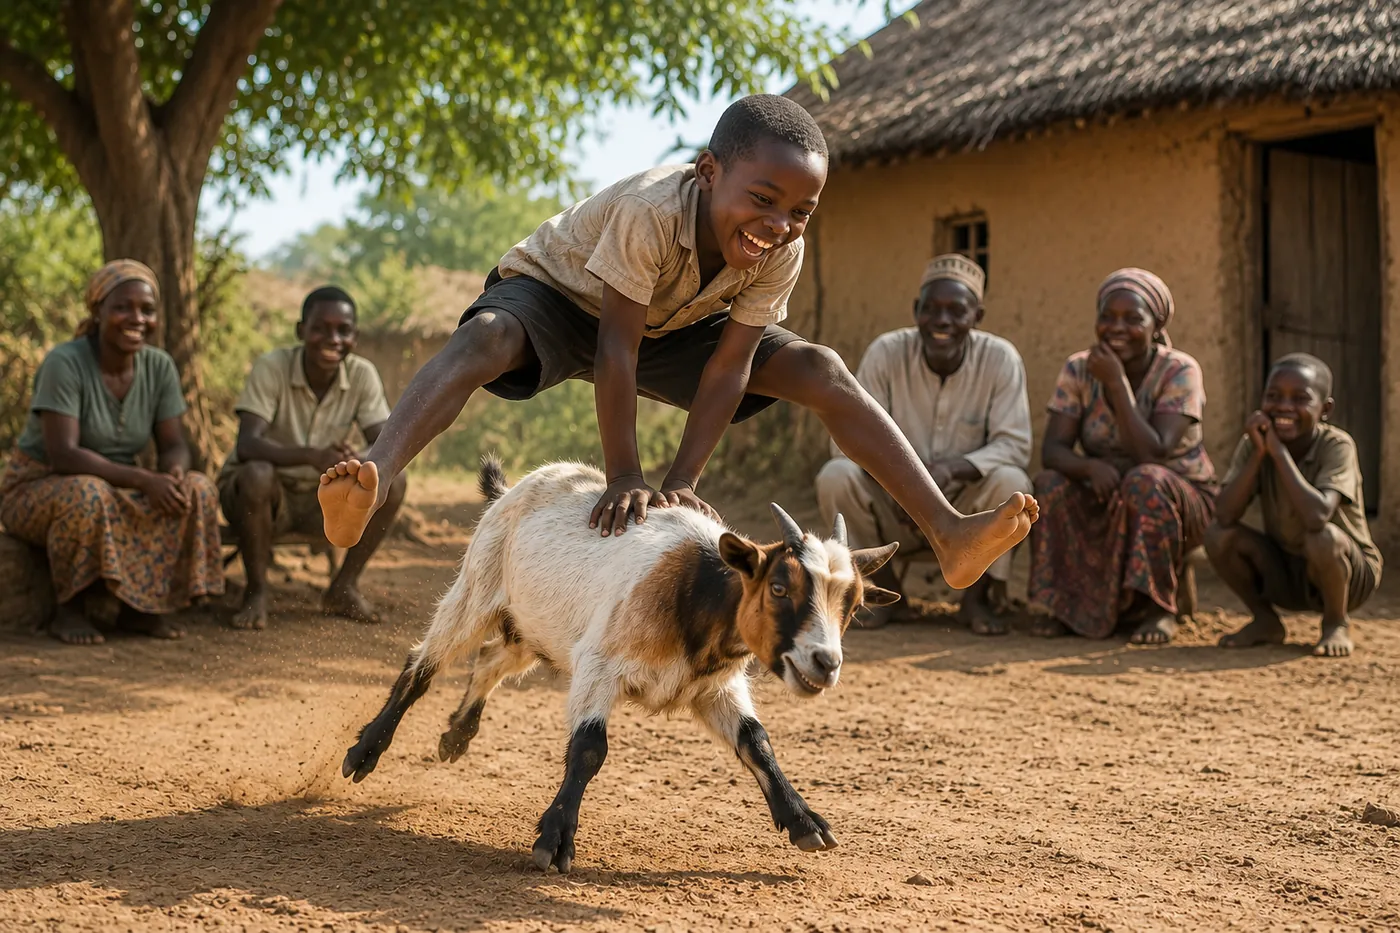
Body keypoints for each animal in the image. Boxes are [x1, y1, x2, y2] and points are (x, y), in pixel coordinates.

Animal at [342, 458, 899, 873]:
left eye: (853, 605)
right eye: (779, 588)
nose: (825, 662)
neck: (694, 587)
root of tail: (511, 488)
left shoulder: (714, 689)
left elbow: (756, 741)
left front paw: (806, 822)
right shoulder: (599, 664)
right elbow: (589, 748)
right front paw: (554, 841)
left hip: (536, 629)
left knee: (491, 660)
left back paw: (457, 734)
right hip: (477, 592)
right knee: (423, 664)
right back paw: (365, 752)